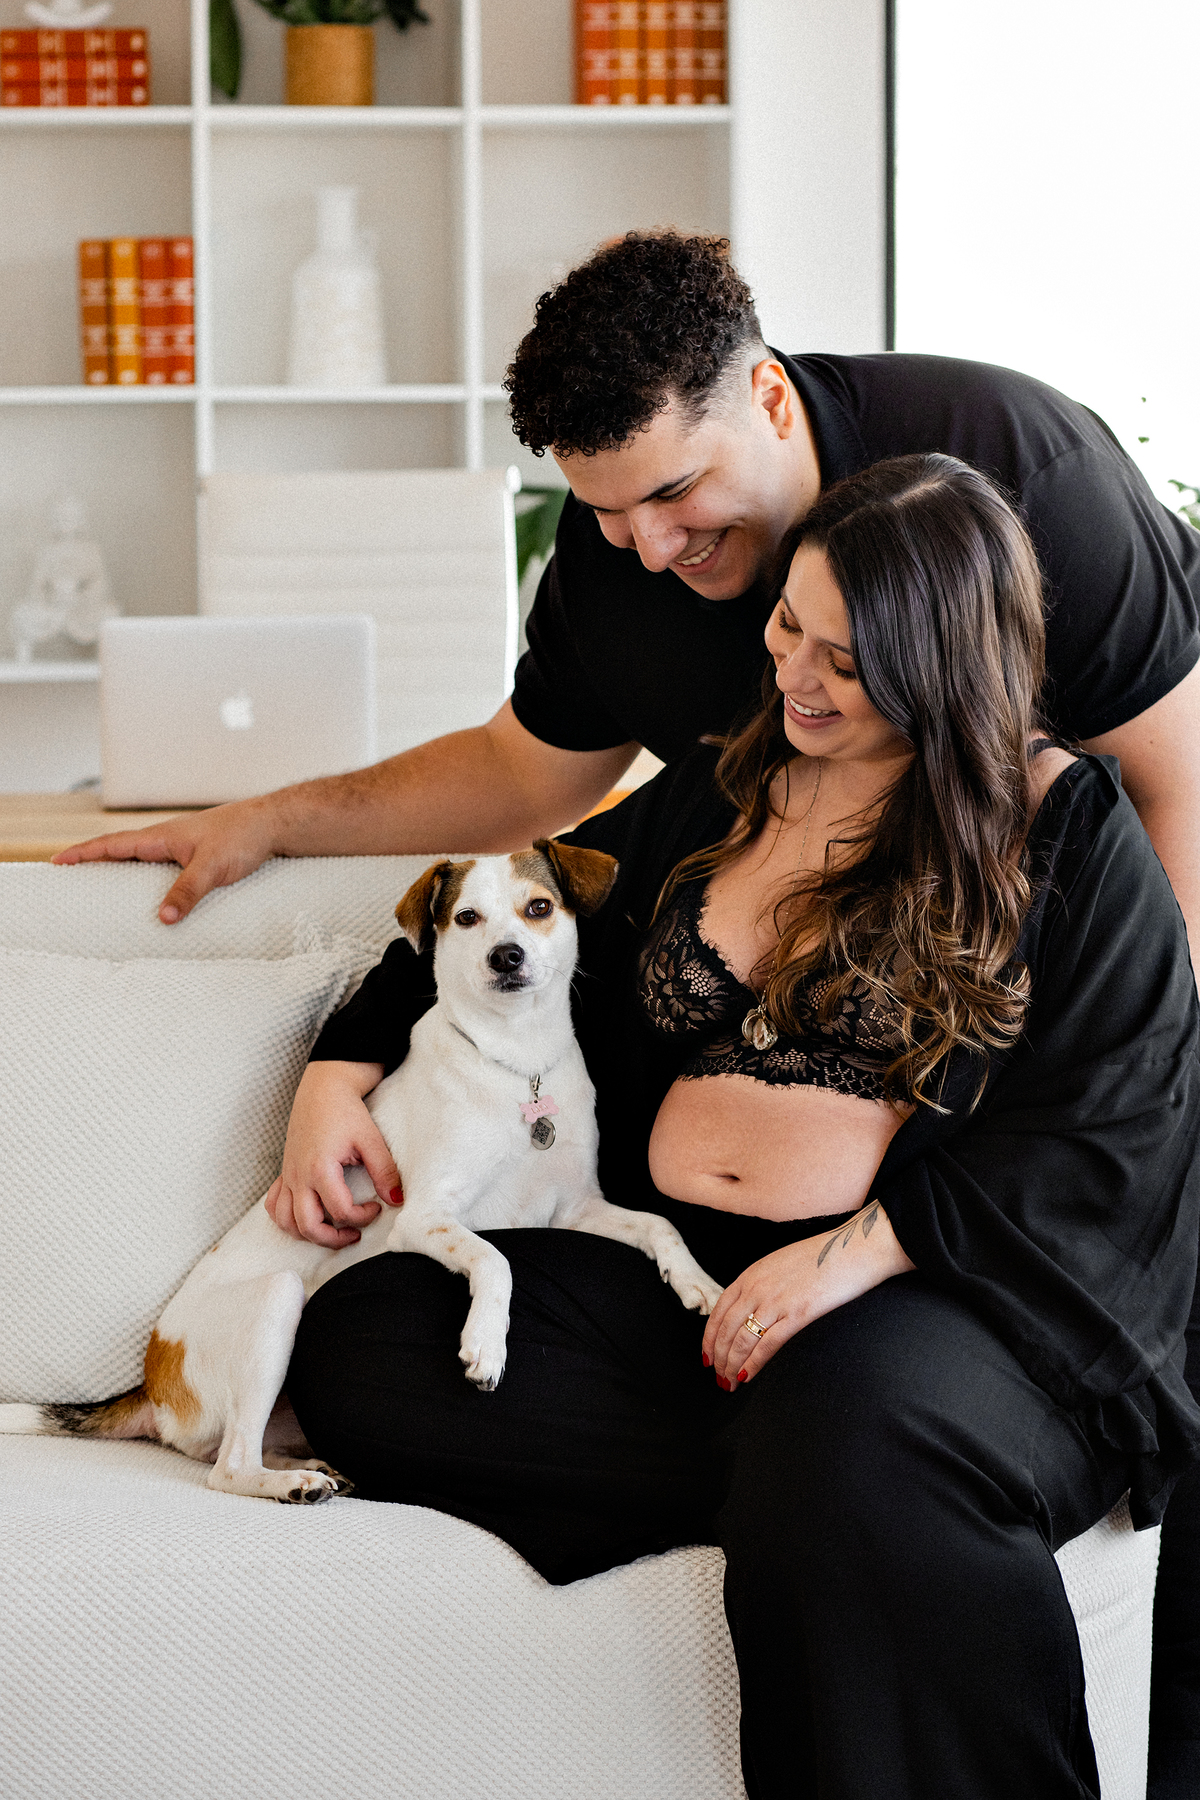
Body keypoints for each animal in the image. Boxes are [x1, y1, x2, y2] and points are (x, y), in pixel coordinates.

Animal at [0, 841, 722, 1504]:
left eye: (538, 908)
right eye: (467, 918)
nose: (507, 956)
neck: (515, 1065)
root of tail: (152, 1382)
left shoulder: (575, 1208)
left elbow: (659, 1225)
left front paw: (704, 1287)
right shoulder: (427, 1219)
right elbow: (496, 1259)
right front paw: (486, 1343)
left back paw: (313, 1468)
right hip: (279, 1300)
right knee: (226, 1467)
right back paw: (293, 1484)